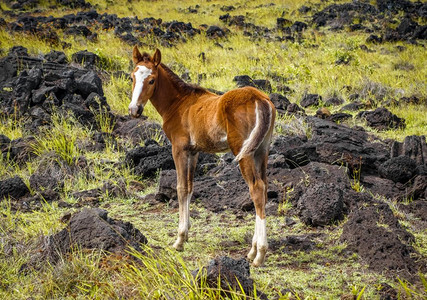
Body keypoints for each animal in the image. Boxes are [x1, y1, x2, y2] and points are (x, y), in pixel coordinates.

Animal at [129, 46, 276, 264]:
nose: (134, 110)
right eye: (132, 77)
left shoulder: (179, 149)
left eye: (152, 80)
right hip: (261, 150)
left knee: (256, 189)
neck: (179, 102)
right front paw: (187, 233)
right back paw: (252, 250)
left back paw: (259, 254)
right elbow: (190, 187)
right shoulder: (194, 151)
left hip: (243, 152)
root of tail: (261, 99)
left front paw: (179, 239)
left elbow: (181, 188)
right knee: (264, 188)